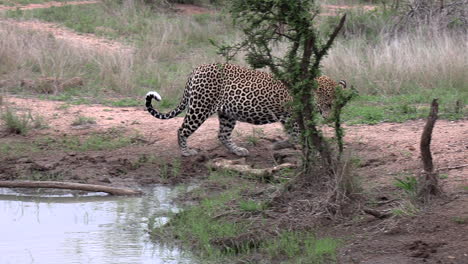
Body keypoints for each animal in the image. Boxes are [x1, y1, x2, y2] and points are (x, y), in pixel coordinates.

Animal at [144, 62, 346, 156]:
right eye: (327, 103)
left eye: (335, 104)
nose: (329, 117)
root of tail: (197, 69)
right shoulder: (290, 116)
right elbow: (297, 134)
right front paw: (299, 146)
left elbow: (298, 134)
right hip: (200, 107)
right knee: (182, 129)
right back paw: (186, 152)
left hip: (227, 113)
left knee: (222, 135)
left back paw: (238, 151)